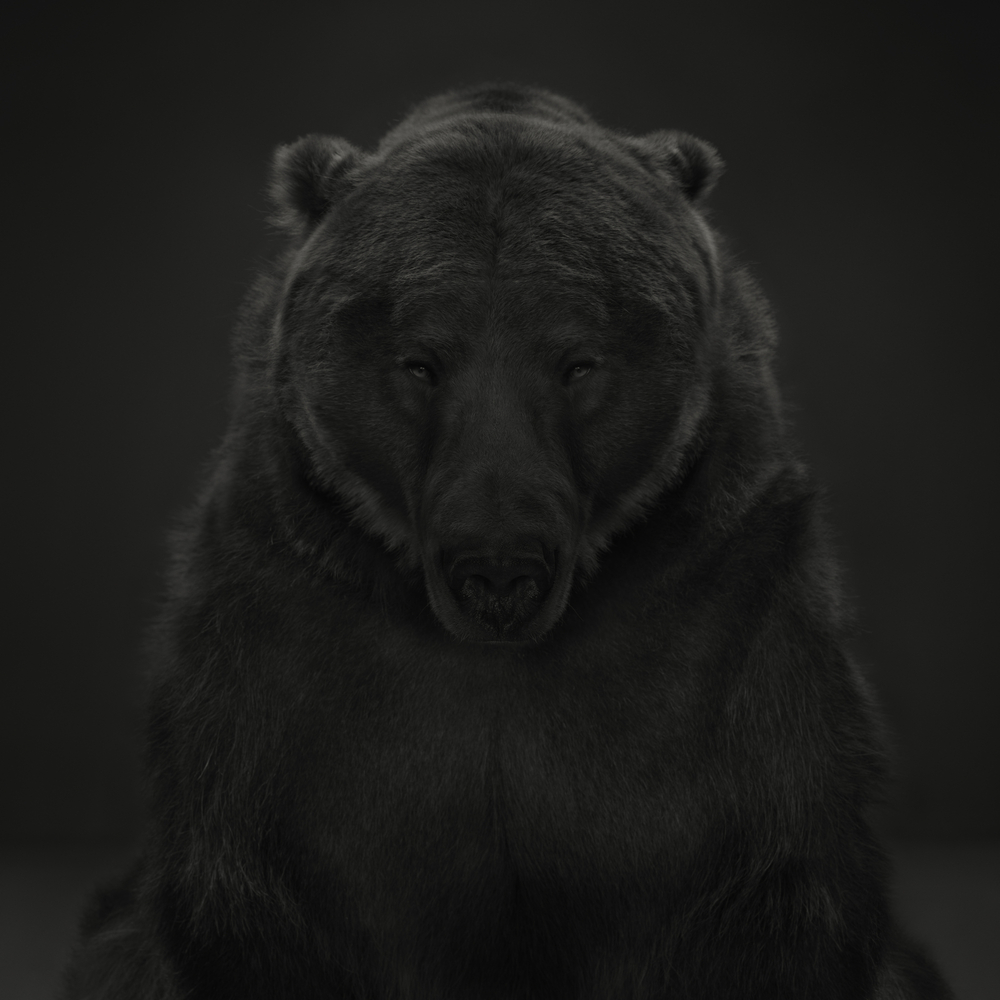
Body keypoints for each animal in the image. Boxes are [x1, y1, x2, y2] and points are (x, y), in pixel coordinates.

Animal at [62, 84, 953, 999]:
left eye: (579, 361)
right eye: (419, 360)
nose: (498, 572)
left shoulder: (721, 630)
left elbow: (769, 891)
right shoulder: (288, 650)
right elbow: (260, 902)